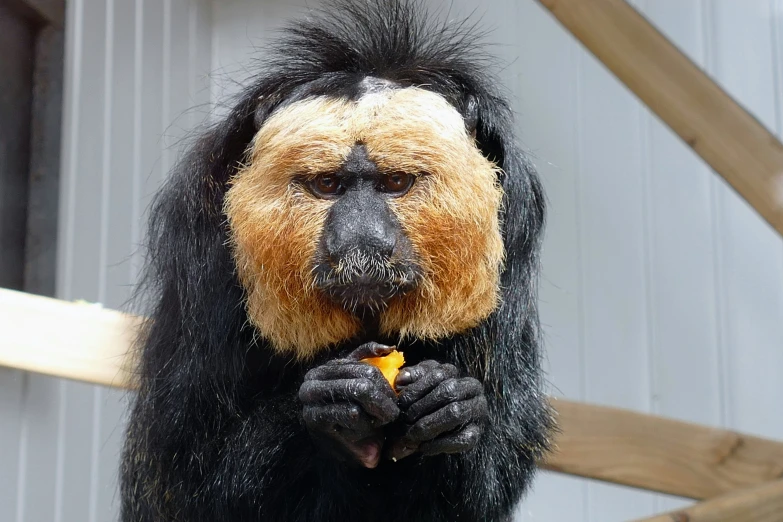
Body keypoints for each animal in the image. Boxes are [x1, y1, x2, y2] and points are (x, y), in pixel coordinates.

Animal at [119, 2, 556, 516]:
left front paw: (449, 406)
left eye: (395, 183)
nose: (362, 239)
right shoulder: (199, 237)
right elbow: (184, 473)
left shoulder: (518, 223)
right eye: (327, 185)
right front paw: (334, 404)